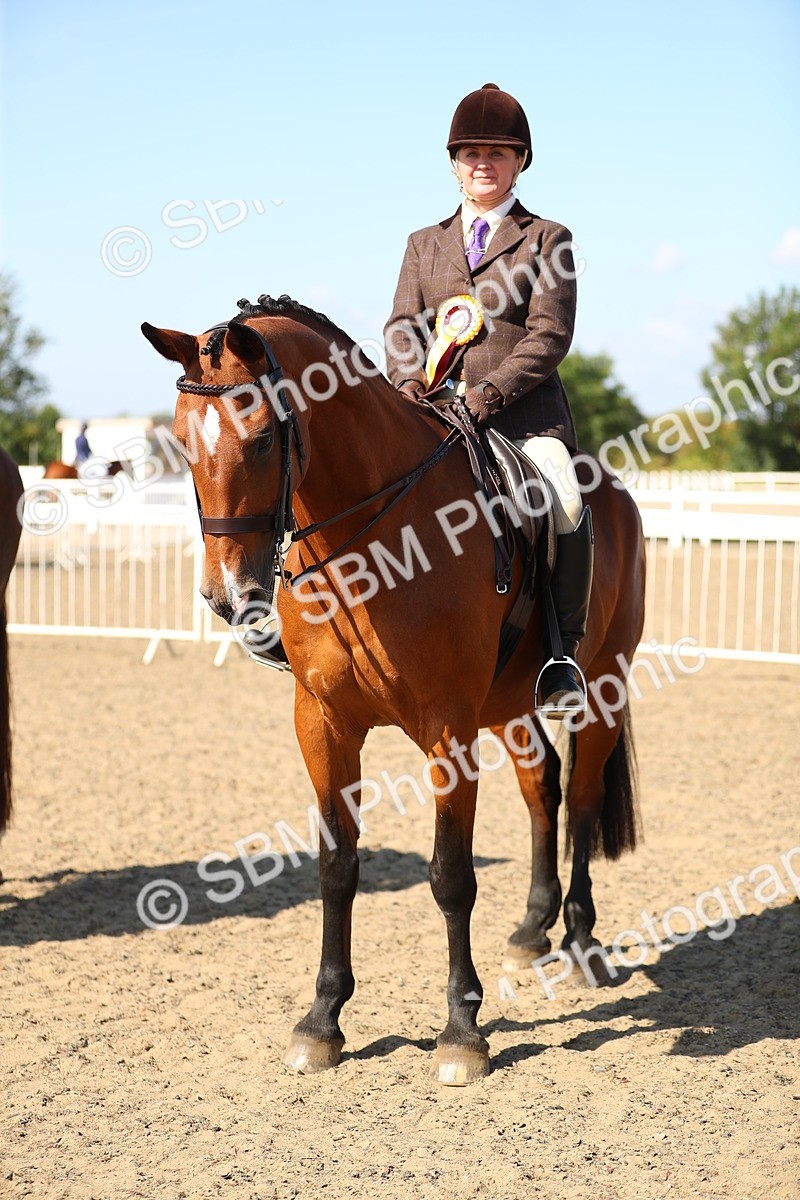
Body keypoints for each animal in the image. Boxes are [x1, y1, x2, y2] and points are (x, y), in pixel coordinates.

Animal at [142, 295, 645, 1085]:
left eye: (263, 440)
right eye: (182, 444)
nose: (227, 597)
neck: (367, 545)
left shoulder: (447, 728)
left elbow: (451, 875)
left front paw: (463, 1033)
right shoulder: (322, 723)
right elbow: (337, 866)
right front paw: (322, 1020)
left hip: (602, 686)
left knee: (584, 802)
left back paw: (582, 943)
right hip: (511, 708)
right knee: (544, 793)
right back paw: (532, 931)